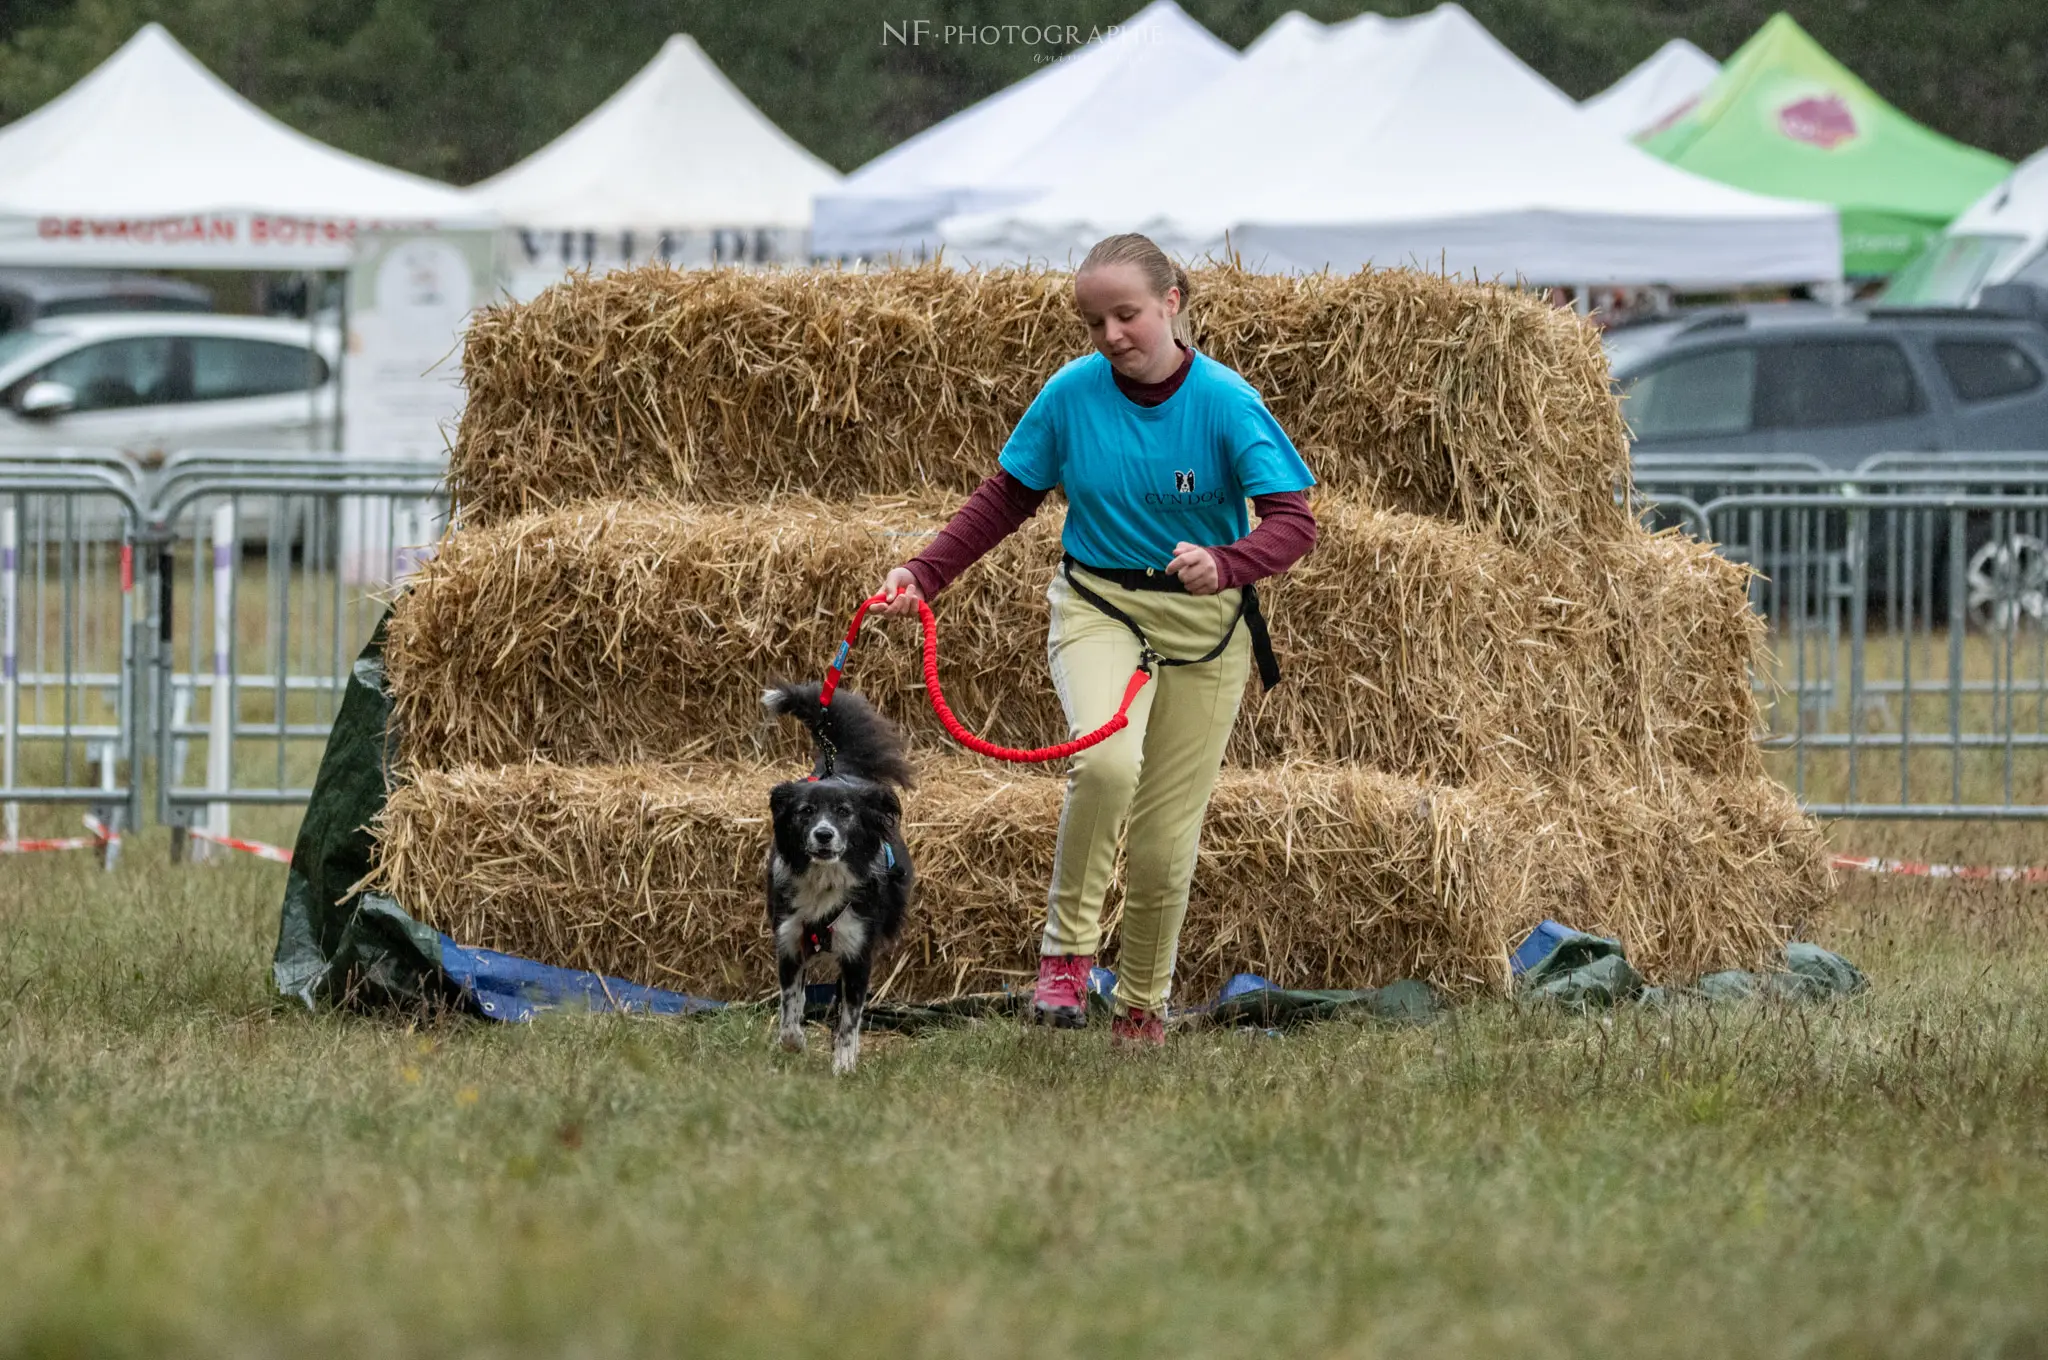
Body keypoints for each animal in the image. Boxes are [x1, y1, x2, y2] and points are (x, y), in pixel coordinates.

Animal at [761, 680, 913, 1073]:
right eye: (805, 812)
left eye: (845, 812)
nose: (824, 835)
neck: (825, 880)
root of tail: (837, 765)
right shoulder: (790, 939)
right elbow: (790, 1005)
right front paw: (794, 1043)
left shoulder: (859, 951)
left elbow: (849, 1019)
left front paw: (844, 1064)